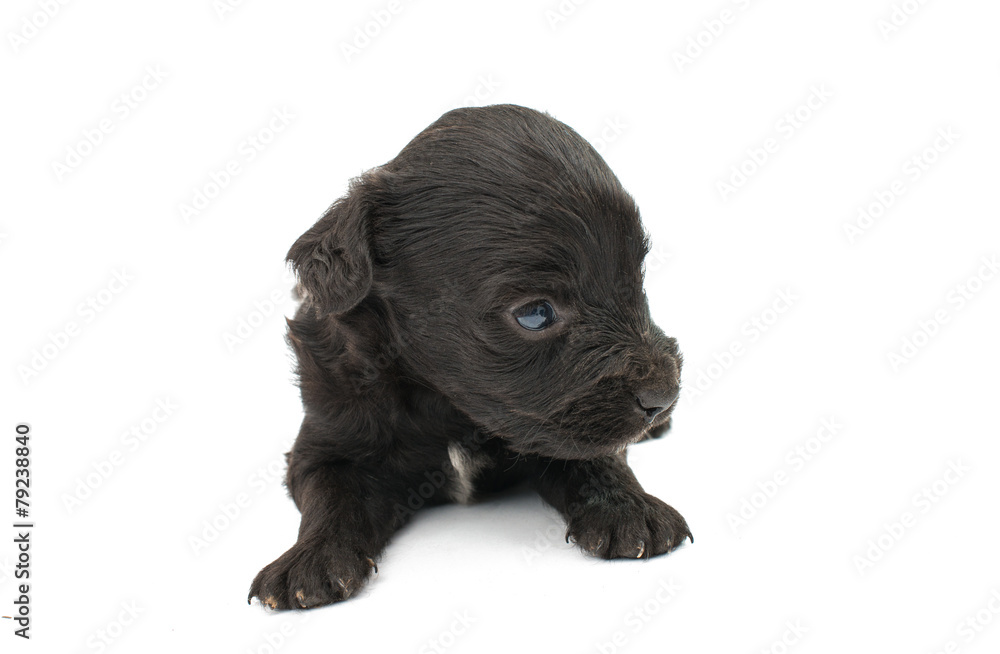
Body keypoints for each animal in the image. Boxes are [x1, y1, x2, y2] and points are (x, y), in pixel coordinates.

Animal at [248, 104, 691, 610]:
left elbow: (595, 457)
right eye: (535, 314)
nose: (663, 395)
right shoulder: (326, 436)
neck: (447, 406)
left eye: (636, 282)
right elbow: (330, 491)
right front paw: (313, 559)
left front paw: (631, 510)